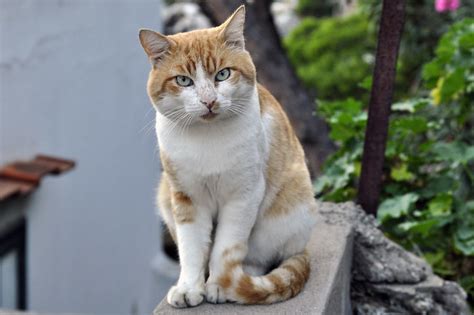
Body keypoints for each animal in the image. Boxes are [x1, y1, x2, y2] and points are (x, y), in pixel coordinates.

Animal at [141, 4, 318, 310]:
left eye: (222, 75)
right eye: (183, 81)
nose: (209, 101)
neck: (207, 138)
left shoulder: (243, 196)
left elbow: (227, 247)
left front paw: (220, 286)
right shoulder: (186, 198)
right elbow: (191, 248)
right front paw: (189, 288)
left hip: (283, 212)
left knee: (260, 258)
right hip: (164, 196)